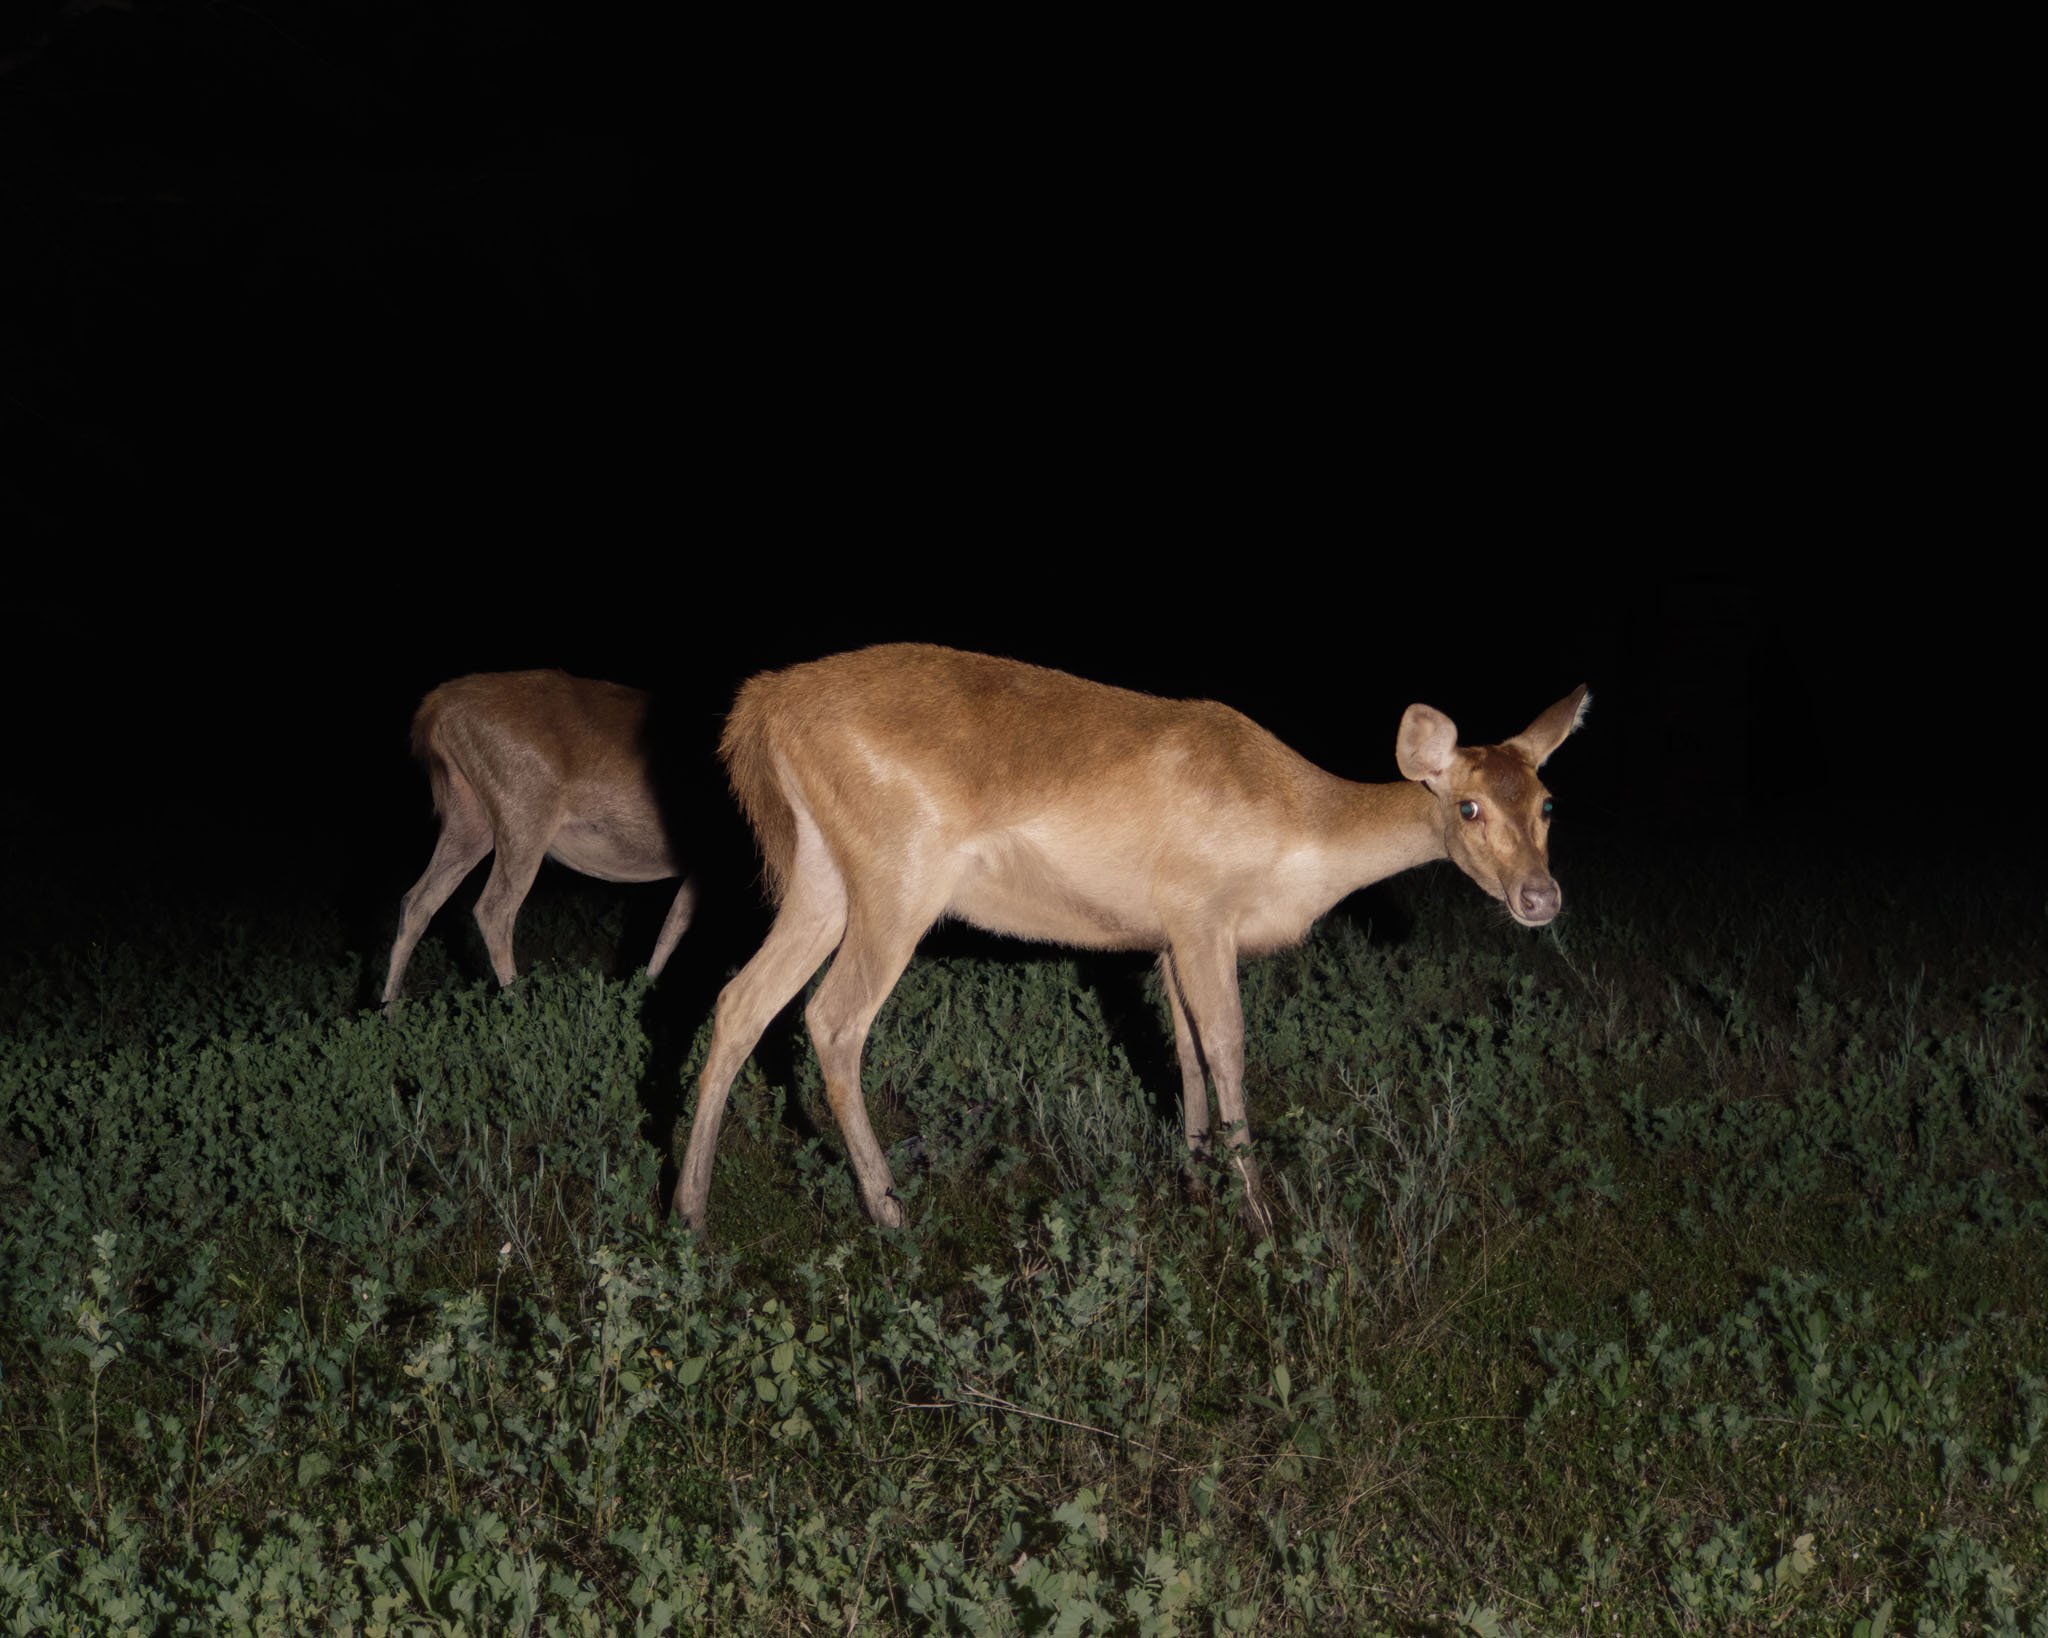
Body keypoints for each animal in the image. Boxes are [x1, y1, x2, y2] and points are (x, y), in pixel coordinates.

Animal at [382, 667, 696, 1003]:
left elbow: (672, 925)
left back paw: (389, 1007)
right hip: (524, 817)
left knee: (416, 902)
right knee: (494, 909)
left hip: (468, 818)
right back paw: (520, 1006)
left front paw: (641, 990)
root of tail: (437, 705)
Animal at [671, 647, 1581, 1236]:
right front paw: (1260, 1219)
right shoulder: (1203, 913)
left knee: (739, 1001)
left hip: (822, 875)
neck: (1298, 827)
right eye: (1467, 807)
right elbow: (1229, 1048)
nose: (1541, 898)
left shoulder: (1168, 936)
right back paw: (890, 1215)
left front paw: (1194, 1182)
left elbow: (1183, 1054)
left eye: (1546, 802)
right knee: (832, 1020)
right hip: (899, 874)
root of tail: (762, 706)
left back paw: (690, 1212)